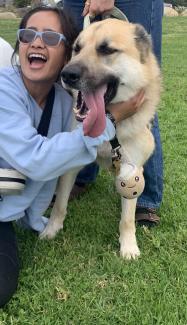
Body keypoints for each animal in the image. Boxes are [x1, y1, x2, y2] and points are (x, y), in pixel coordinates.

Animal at [40, 19, 161, 258]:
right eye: (76, 49)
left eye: (106, 50)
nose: (67, 75)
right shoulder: (70, 165)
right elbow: (60, 204)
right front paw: (52, 229)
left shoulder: (131, 171)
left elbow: (127, 220)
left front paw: (128, 246)